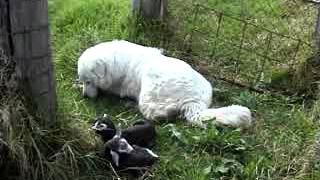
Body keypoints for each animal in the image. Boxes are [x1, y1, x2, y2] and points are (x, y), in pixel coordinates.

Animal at [78, 40, 252, 128]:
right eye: (83, 81)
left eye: (89, 81)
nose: (85, 96)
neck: (116, 61)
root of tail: (193, 102)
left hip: (149, 93)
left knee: (158, 115)